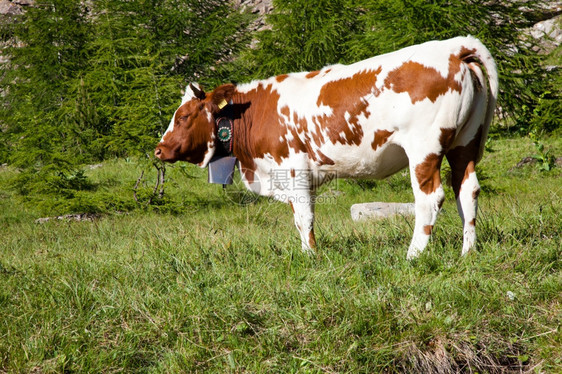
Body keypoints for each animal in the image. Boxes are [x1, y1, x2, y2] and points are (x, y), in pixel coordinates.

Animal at [153, 36, 494, 260]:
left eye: (183, 116)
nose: (159, 149)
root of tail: (455, 47)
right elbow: (299, 216)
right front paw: (309, 252)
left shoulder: (292, 169)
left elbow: (303, 217)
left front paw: (310, 258)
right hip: (465, 143)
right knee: (467, 191)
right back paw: (467, 252)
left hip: (424, 148)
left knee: (430, 197)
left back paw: (414, 255)